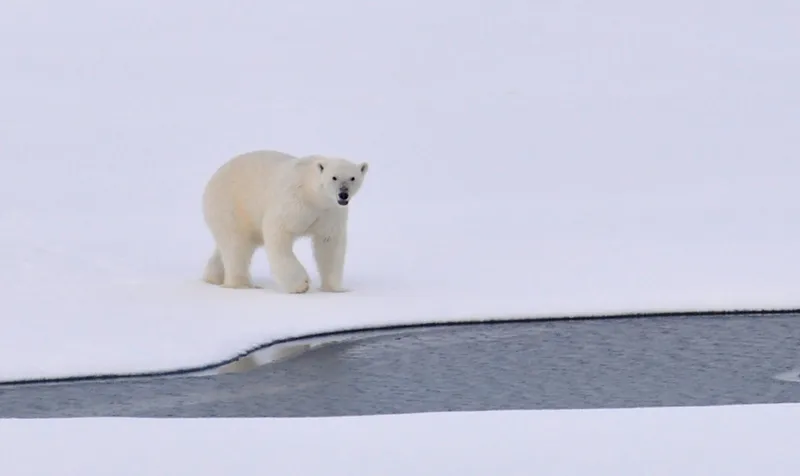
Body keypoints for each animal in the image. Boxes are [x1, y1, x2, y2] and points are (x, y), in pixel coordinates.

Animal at [201, 149, 369, 294]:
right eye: (334, 177)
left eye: (352, 178)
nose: (343, 194)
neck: (311, 194)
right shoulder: (293, 202)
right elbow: (279, 234)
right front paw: (301, 284)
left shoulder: (329, 212)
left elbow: (329, 243)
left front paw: (335, 288)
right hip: (231, 206)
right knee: (236, 244)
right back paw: (243, 284)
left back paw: (213, 277)